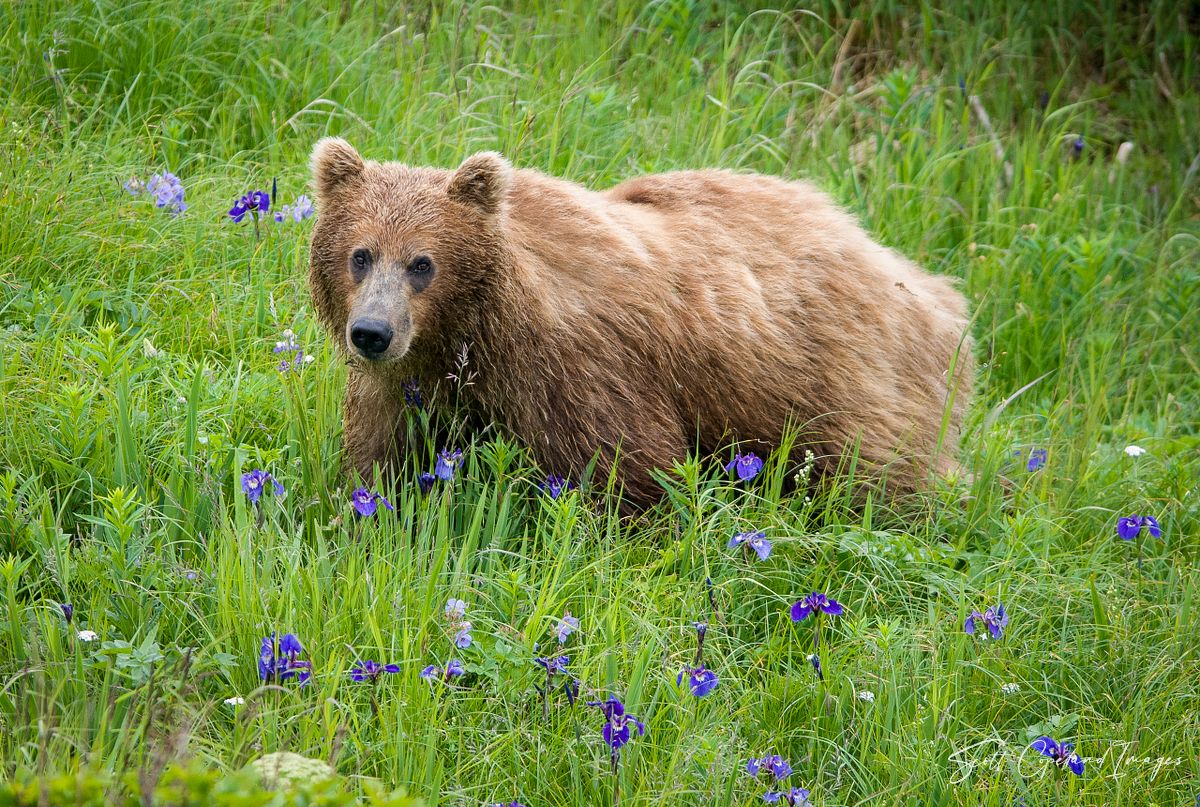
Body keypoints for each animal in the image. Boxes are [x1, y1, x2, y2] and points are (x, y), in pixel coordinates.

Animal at [307, 137, 973, 508]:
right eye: (360, 254)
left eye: (422, 262)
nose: (372, 333)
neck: (473, 330)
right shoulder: (410, 381)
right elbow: (382, 456)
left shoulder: (579, 368)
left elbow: (630, 468)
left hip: (844, 380)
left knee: (879, 473)